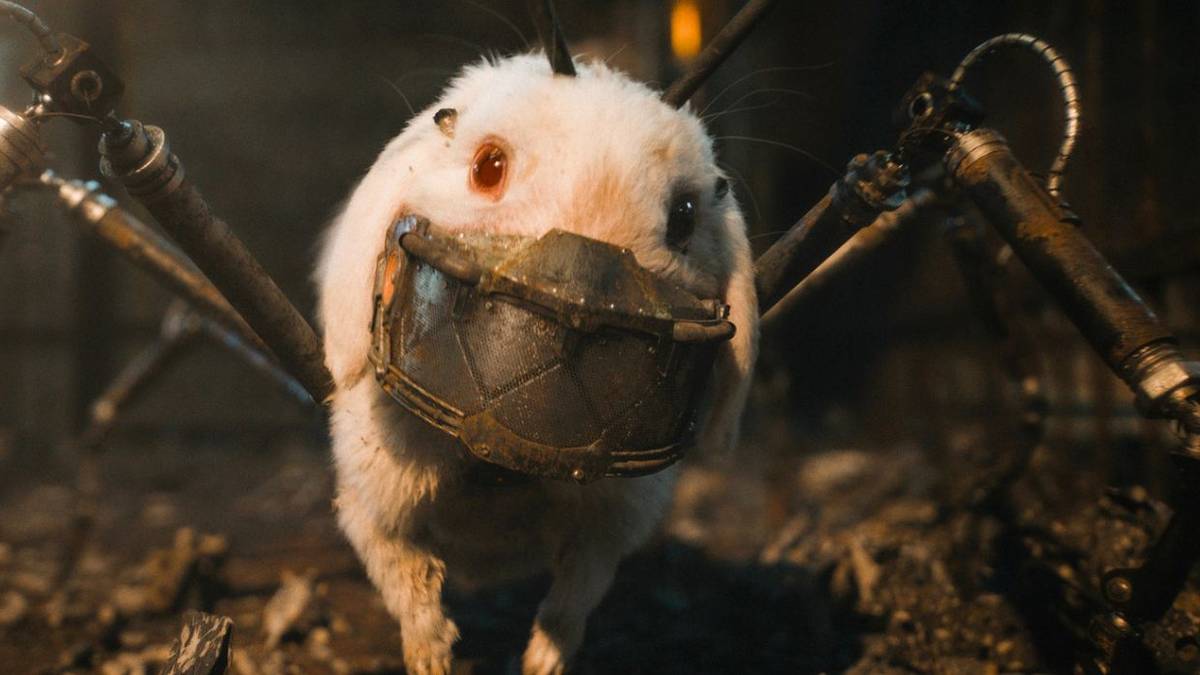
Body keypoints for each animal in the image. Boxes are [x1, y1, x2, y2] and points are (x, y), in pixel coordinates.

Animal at [315, 52, 758, 675]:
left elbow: (579, 589)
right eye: (488, 167)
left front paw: (540, 660)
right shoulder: (374, 479)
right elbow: (399, 562)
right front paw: (433, 652)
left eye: (685, 217)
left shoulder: (620, 508)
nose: (585, 294)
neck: (515, 464)